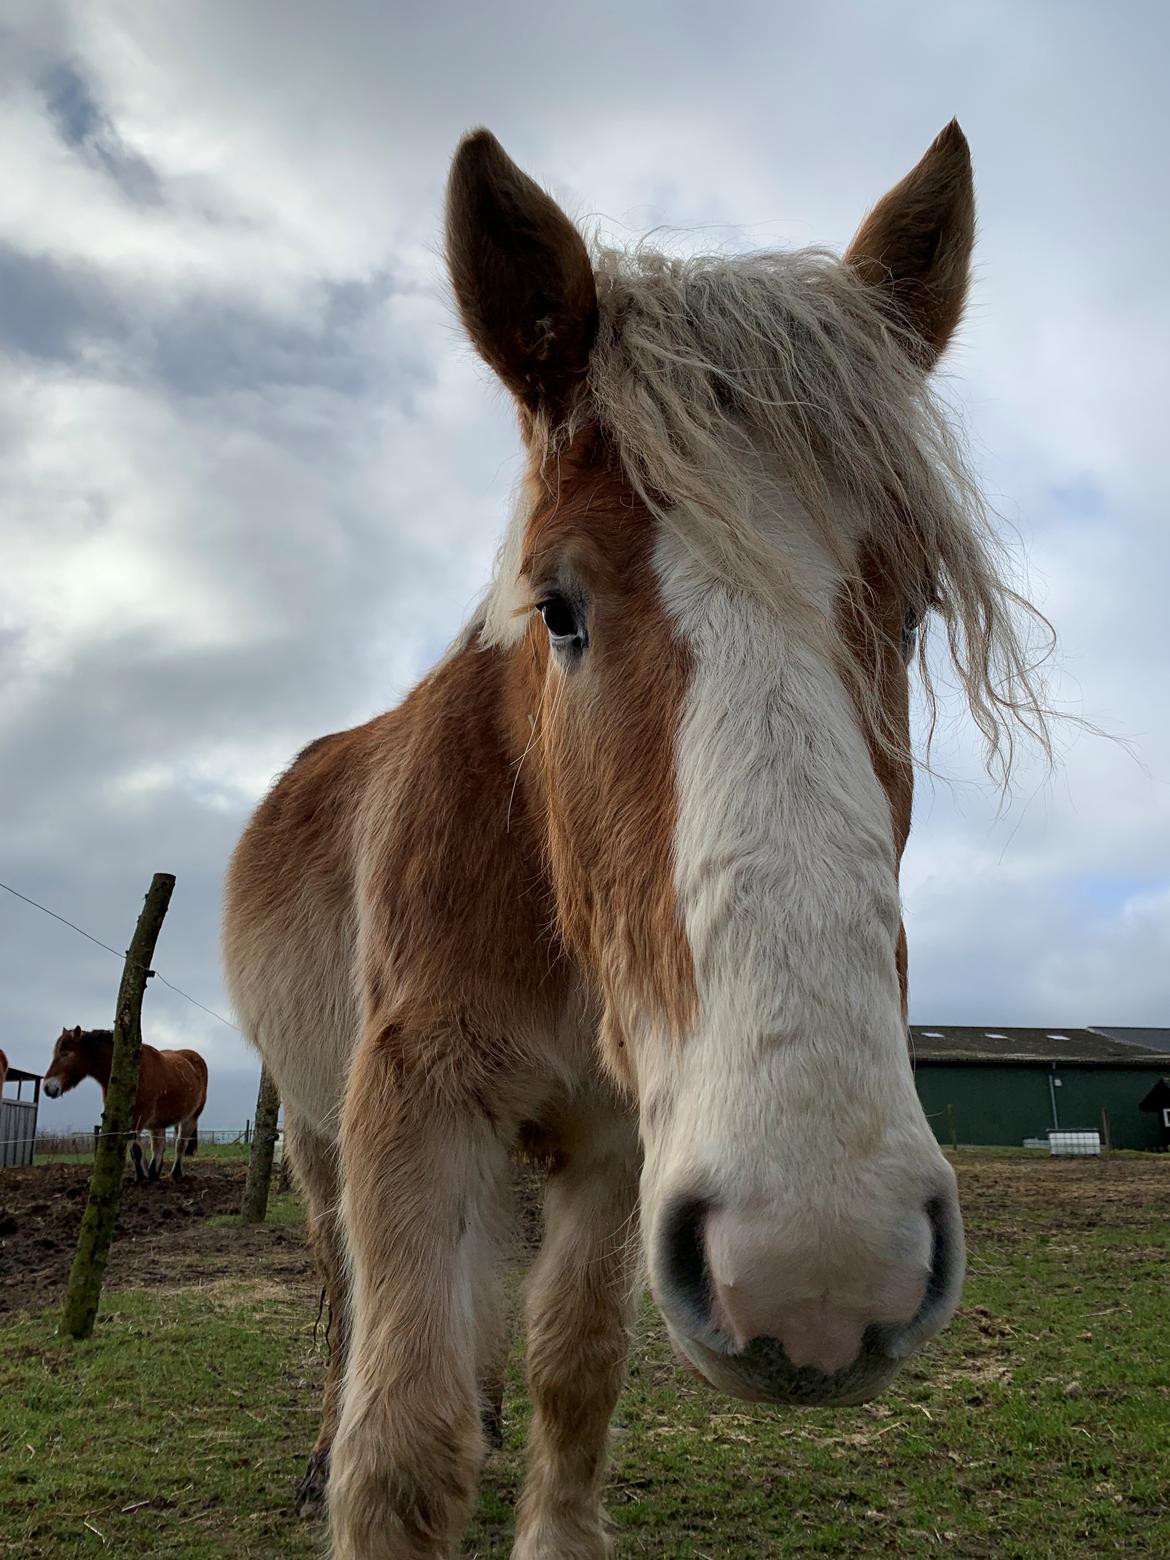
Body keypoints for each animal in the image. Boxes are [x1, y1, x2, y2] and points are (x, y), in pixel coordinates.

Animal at [42, 1023, 209, 1179]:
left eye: (65, 1054)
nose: (47, 1087)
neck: (135, 1073)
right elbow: (135, 1151)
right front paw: (142, 1176)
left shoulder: (138, 1119)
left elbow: (136, 1150)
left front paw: (141, 1177)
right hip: (158, 1123)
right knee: (159, 1147)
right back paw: (153, 1174)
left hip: (191, 1118)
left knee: (180, 1144)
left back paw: (175, 1173)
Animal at [221, 124, 1054, 1560]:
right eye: (556, 606)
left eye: (909, 615)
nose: (822, 1268)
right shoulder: (412, 1105)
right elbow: (399, 1447)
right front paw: (374, 1456)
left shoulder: (616, 1145)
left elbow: (576, 1368)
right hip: (318, 1139)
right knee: (342, 1303)